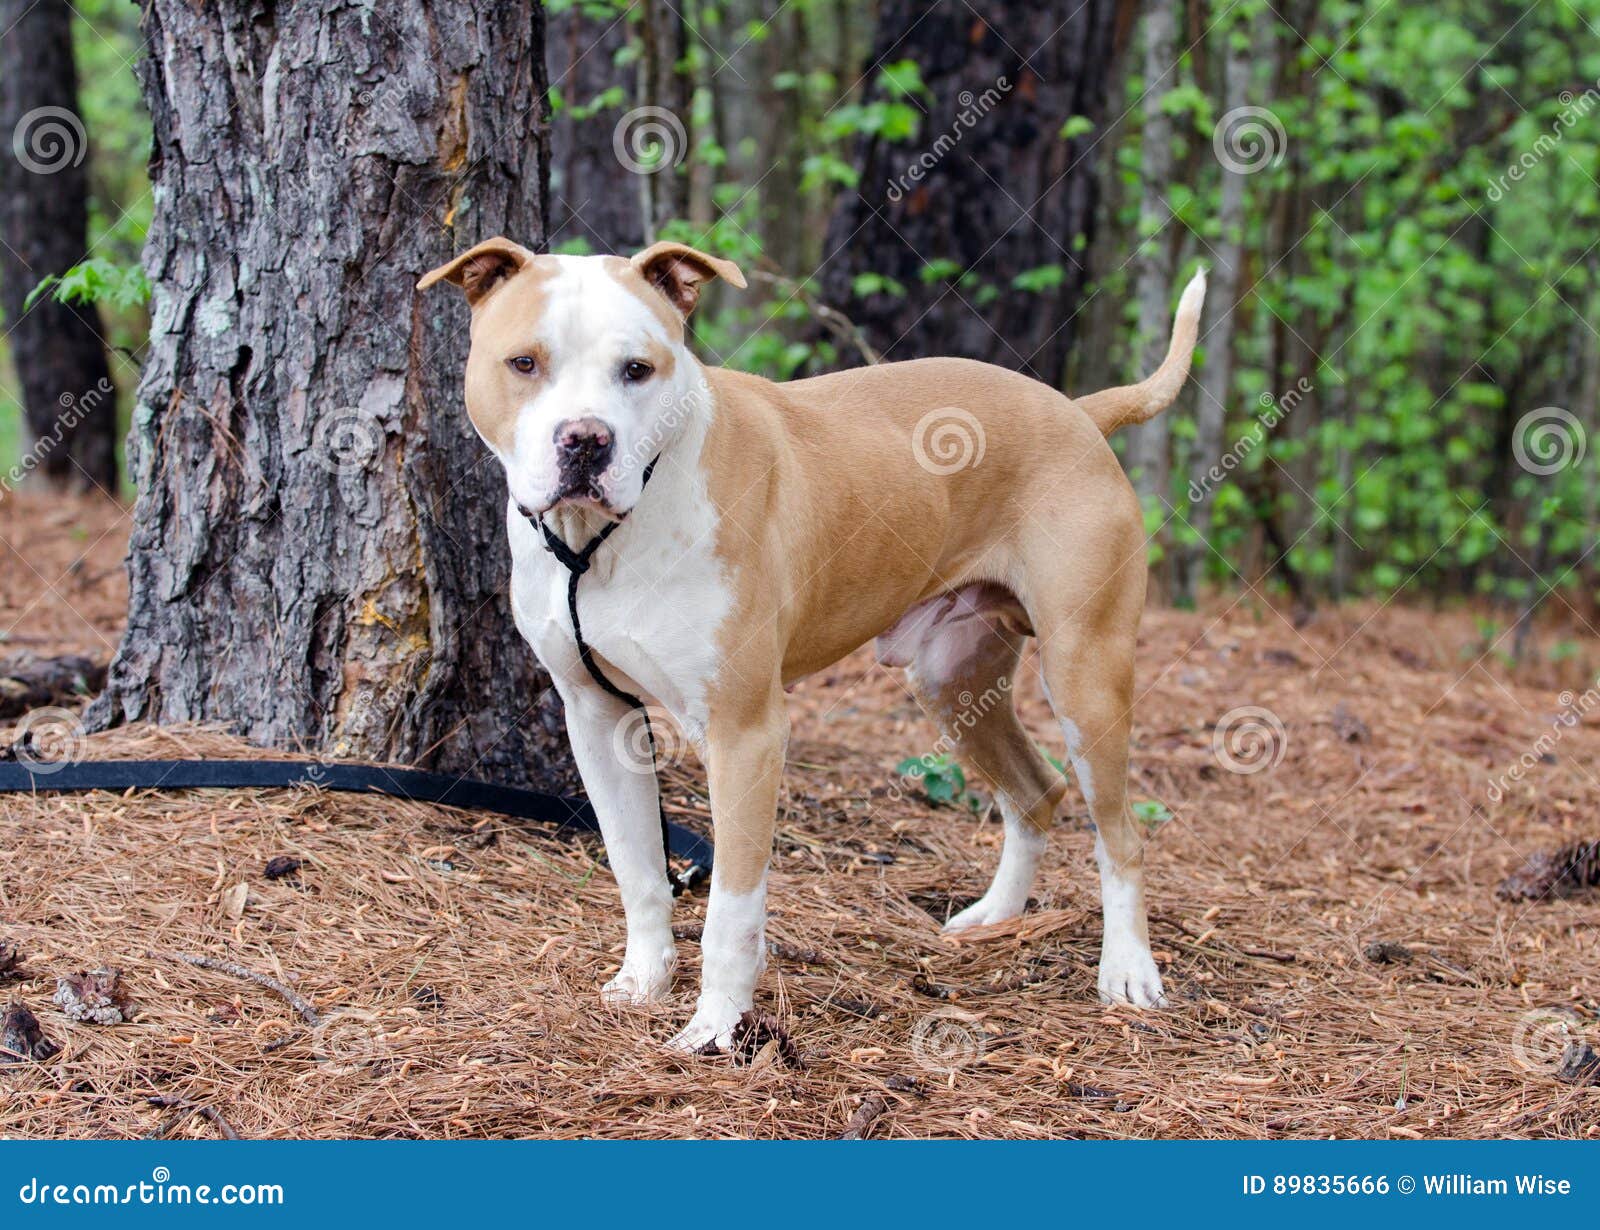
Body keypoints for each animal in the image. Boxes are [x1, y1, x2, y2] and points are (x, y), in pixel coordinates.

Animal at [419, 239, 1203, 1049]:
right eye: (524, 363)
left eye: (637, 369)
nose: (585, 440)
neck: (602, 538)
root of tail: (1076, 411)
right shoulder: (598, 718)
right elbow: (637, 872)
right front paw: (643, 983)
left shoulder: (745, 733)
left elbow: (731, 908)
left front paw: (716, 1027)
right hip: (953, 680)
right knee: (1036, 791)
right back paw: (995, 918)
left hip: (1086, 672)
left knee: (1121, 834)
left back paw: (1128, 971)